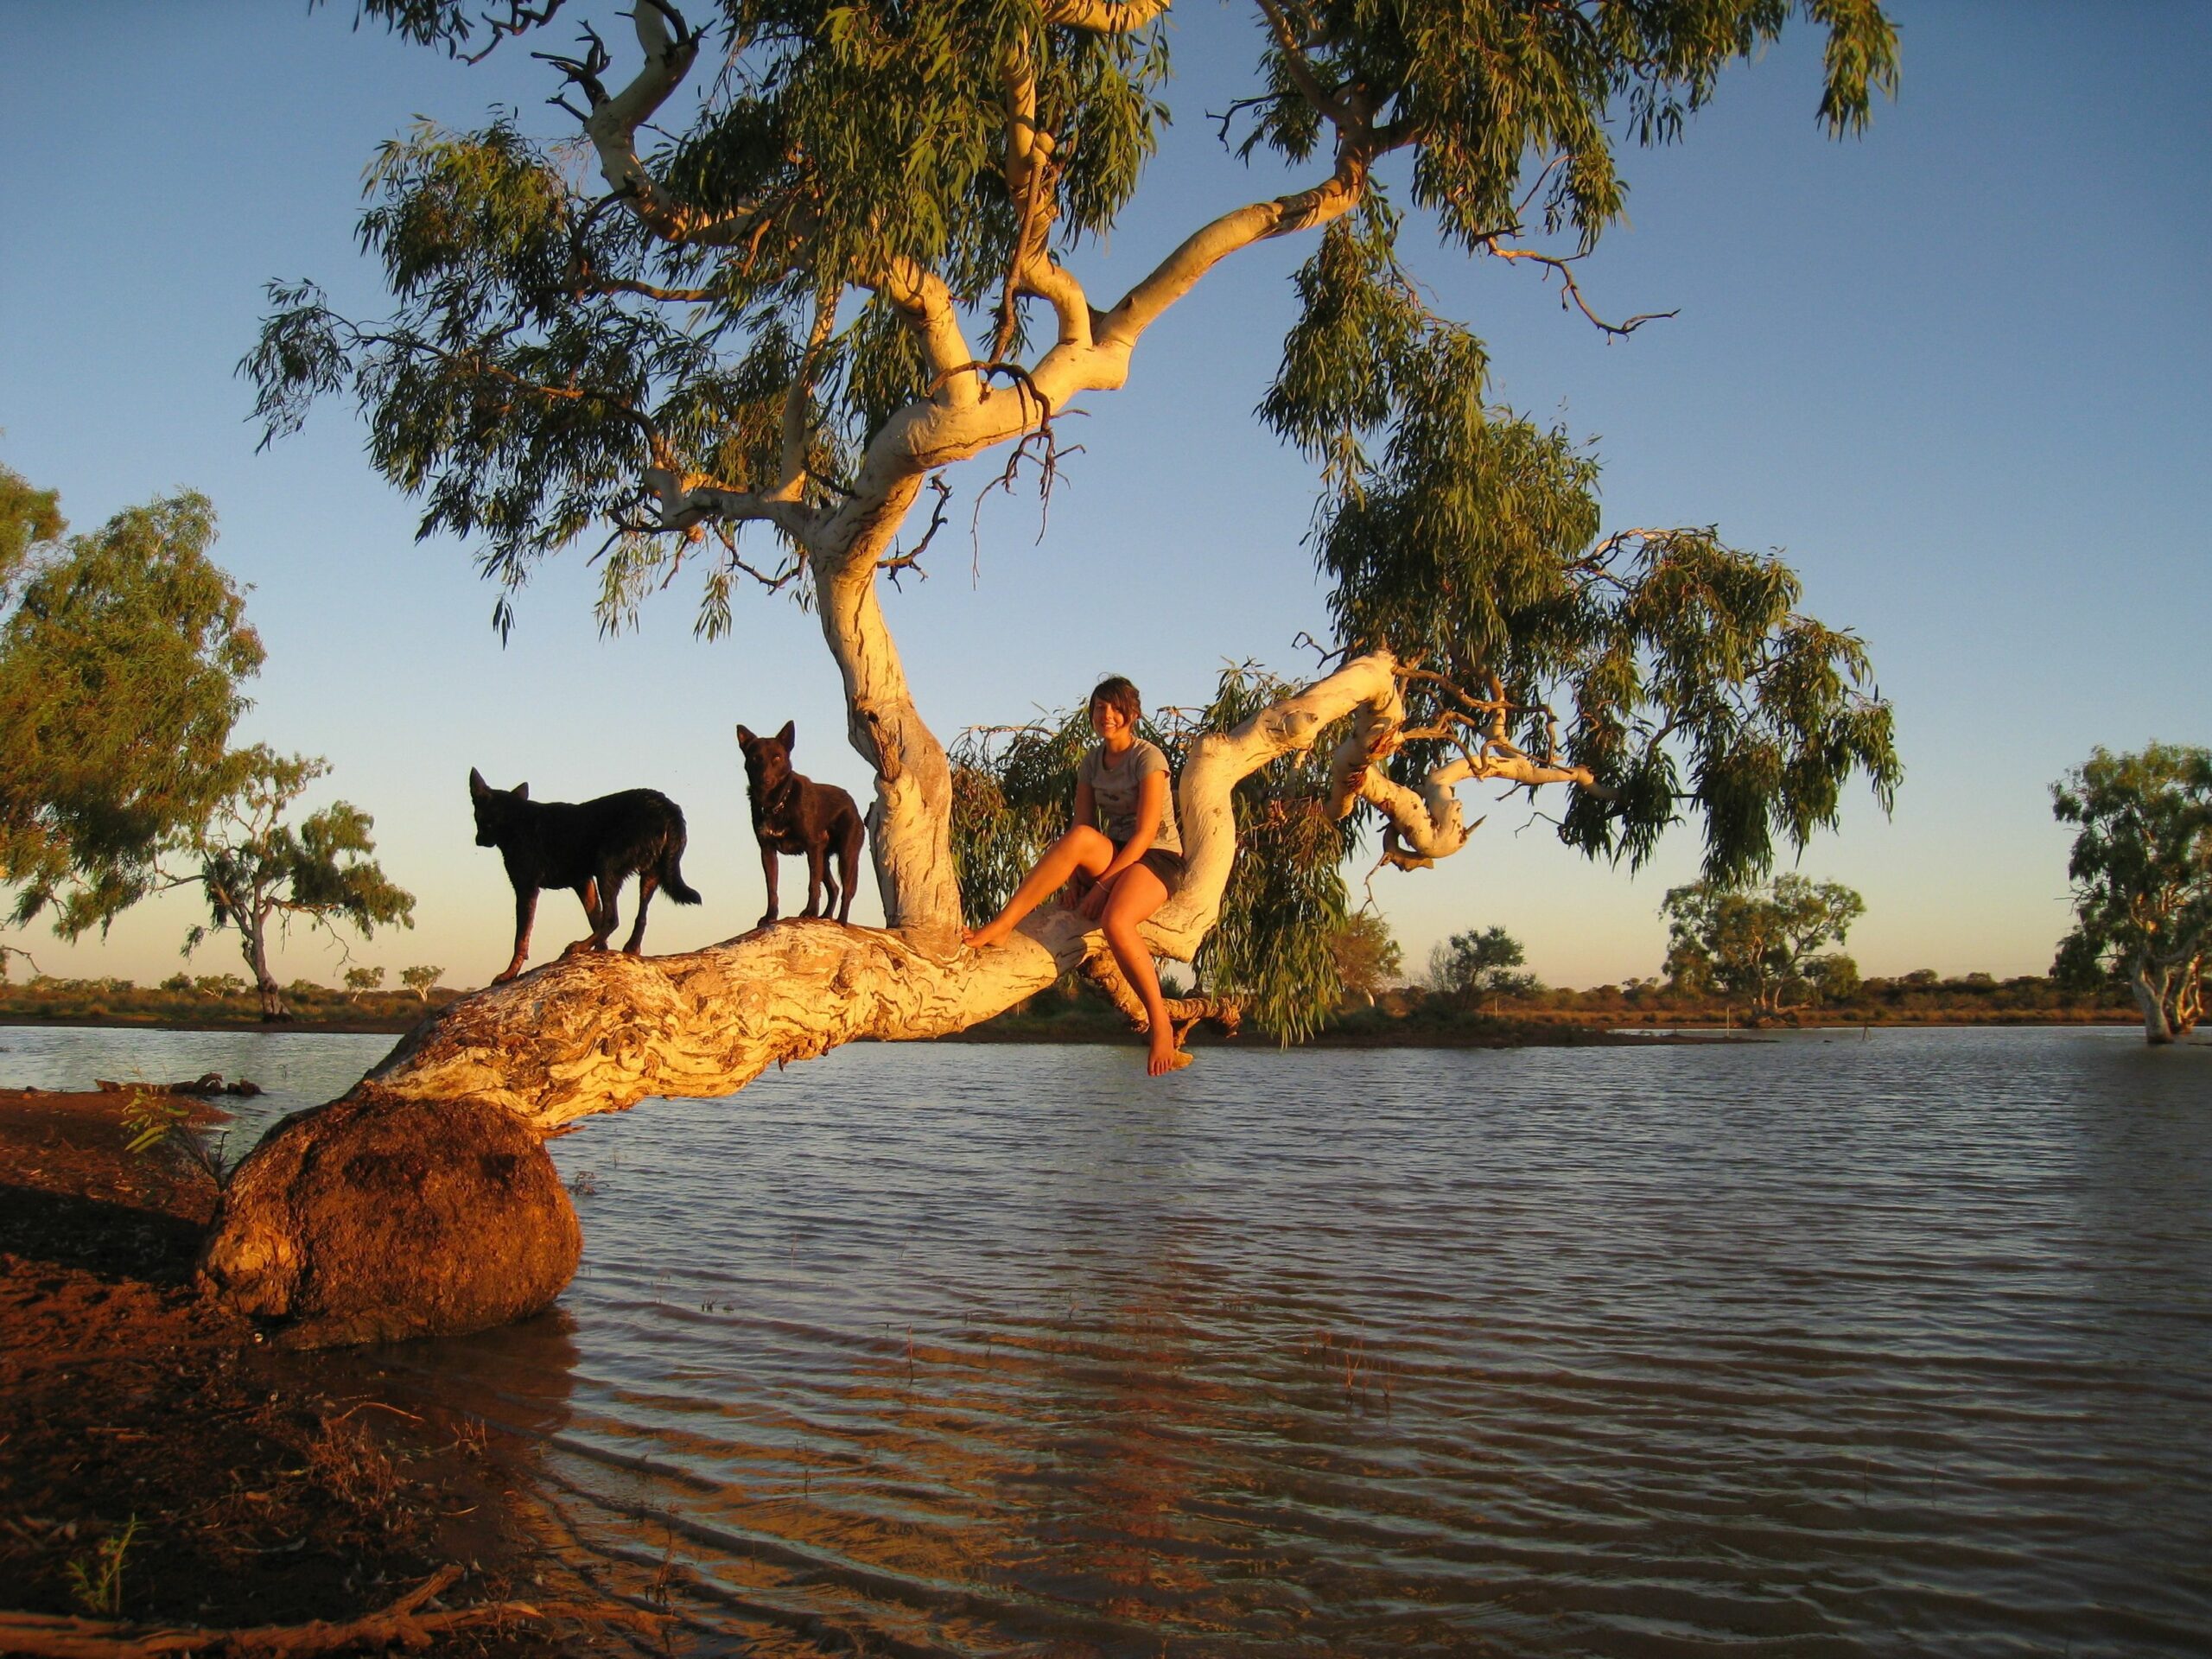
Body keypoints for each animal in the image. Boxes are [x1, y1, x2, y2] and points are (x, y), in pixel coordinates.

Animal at [471, 769, 703, 986]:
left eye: (479, 817)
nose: (478, 840)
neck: (512, 818)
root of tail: (667, 807)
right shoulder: (583, 883)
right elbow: (595, 918)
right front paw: (600, 952)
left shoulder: (526, 888)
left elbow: (521, 938)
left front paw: (509, 973)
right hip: (650, 875)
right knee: (639, 916)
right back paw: (630, 947)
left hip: (606, 864)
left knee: (612, 918)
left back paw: (579, 946)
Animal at [729, 721, 858, 929]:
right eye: (756, 758)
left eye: (777, 757)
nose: (765, 780)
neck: (777, 803)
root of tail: (851, 801)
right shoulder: (767, 851)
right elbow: (772, 888)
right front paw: (770, 916)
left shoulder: (812, 848)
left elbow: (812, 885)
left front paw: (810, 912)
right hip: (824, 858)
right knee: (834, 888)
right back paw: (825, 917)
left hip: (846, 855)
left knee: (847, 890)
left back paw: (841, 921)